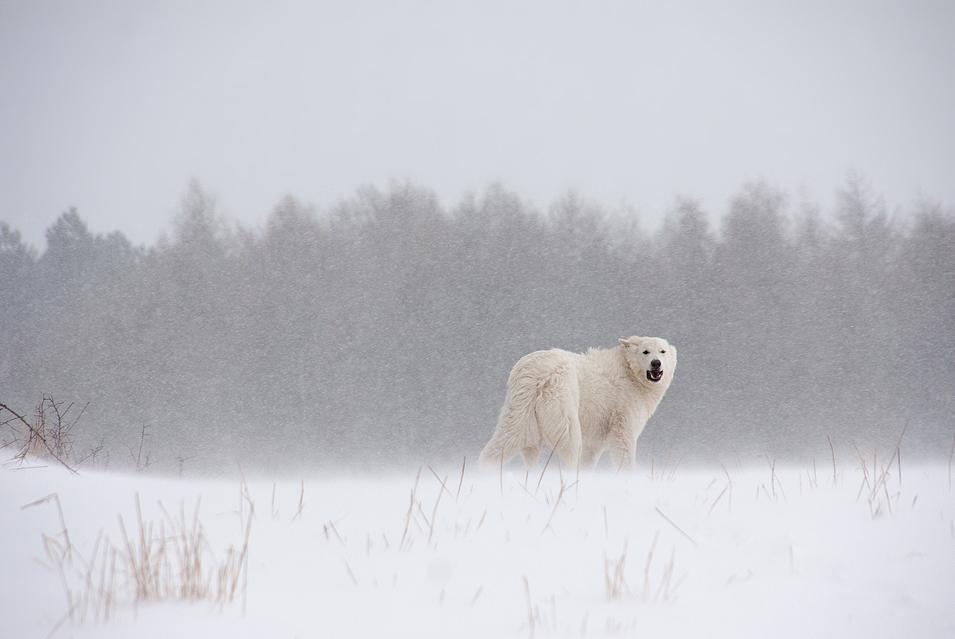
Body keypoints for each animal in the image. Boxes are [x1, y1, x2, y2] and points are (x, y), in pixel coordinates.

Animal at [482, 340, 676, 470]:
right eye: (645, 351)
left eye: (663, 351)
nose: (656, 363)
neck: (630, 373)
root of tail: (534, 373)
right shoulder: (624, 415)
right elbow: (624, 450)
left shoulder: (596, 436)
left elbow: (589, 457)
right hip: (564, 401)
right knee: (569, 446)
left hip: (519, 410)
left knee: (508, 446)